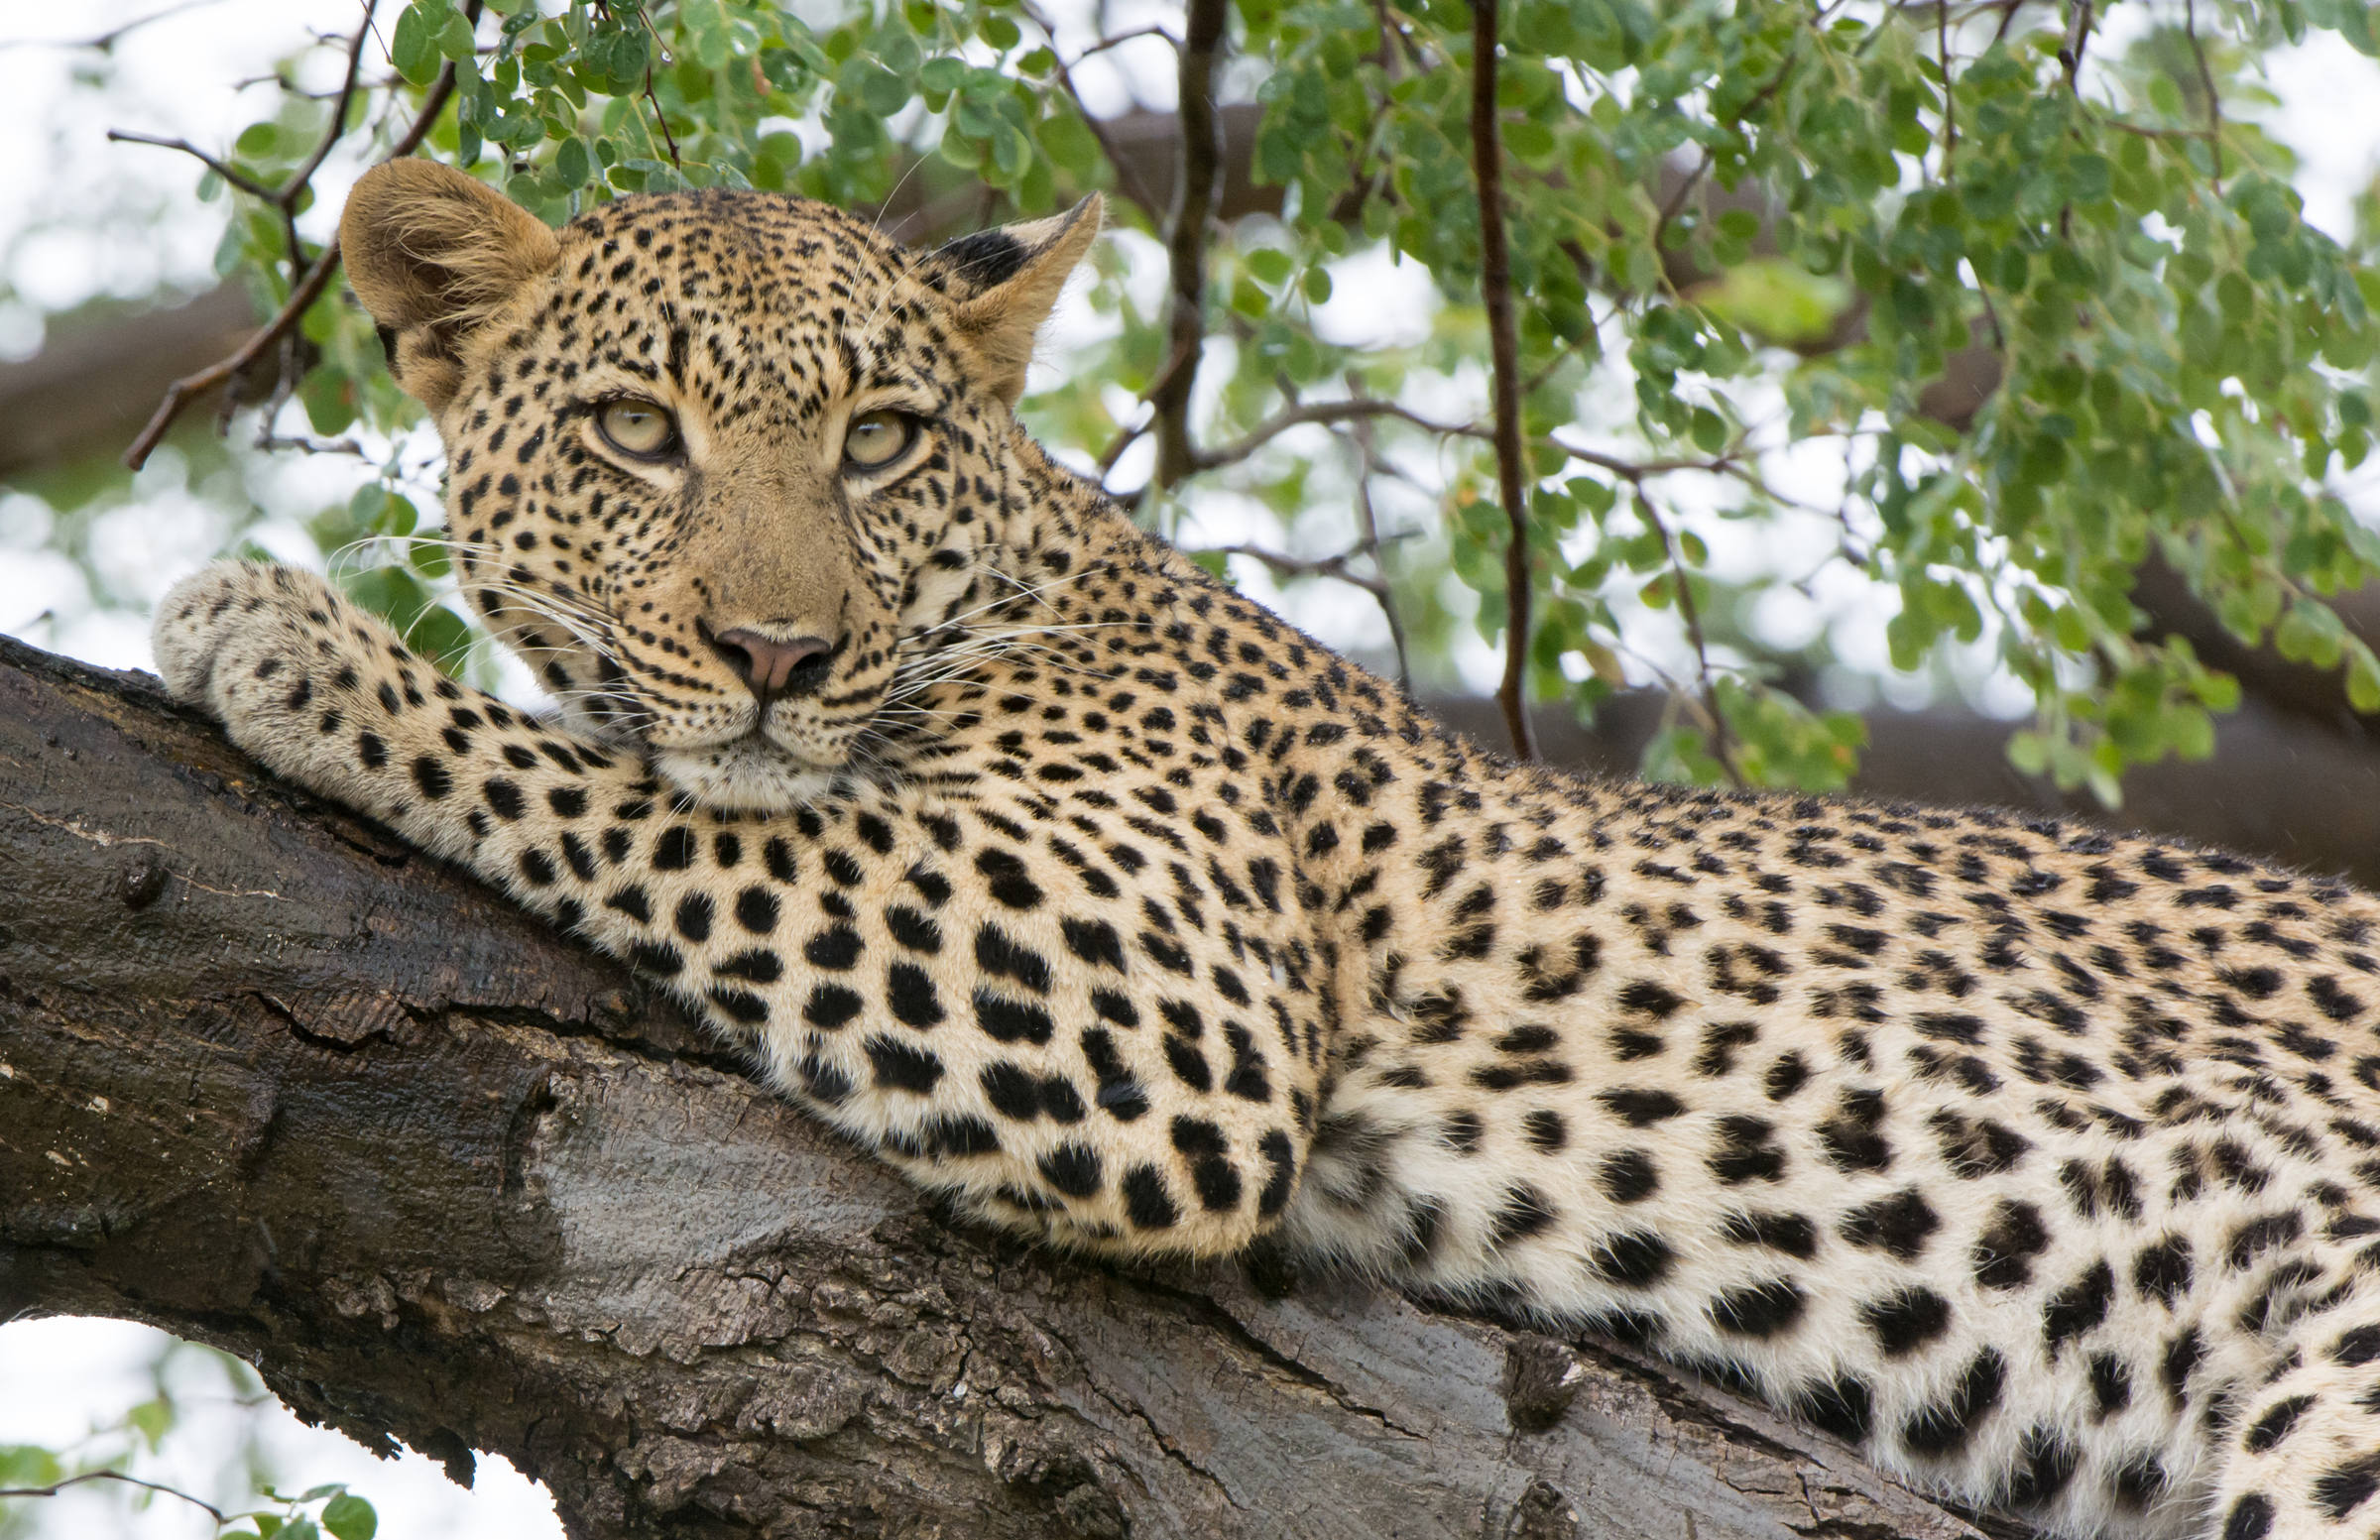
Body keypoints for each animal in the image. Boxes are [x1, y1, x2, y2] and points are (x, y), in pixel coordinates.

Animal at [150, 156, 2380, 1540]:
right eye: (635, 430)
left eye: (878, 440)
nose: (781, 650)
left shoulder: (1158, 986)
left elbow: (676, 811)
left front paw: (296, 643)